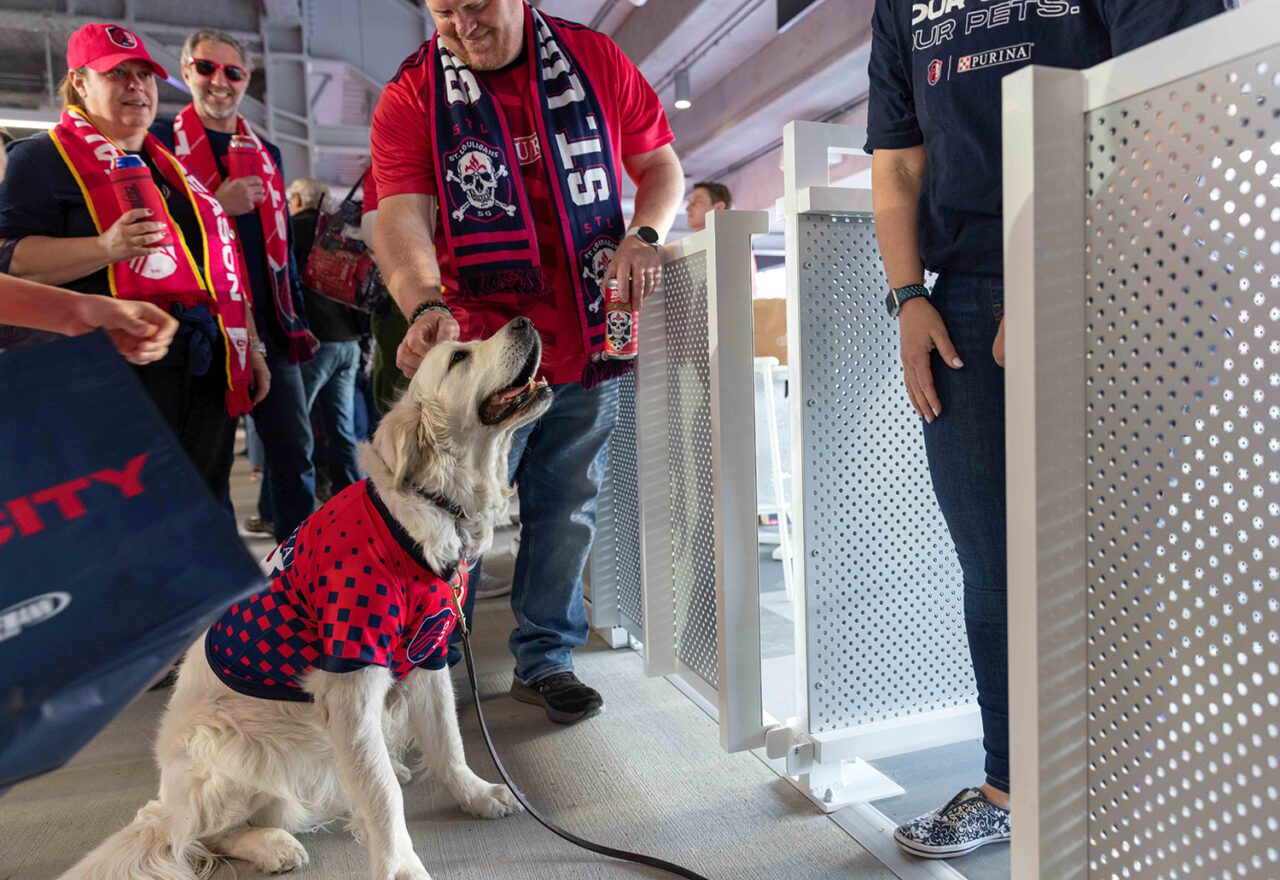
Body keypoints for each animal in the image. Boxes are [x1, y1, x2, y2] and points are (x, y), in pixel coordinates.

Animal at [66, 318, 555, 880]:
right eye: (458, 358)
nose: (524, 321)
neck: (427, 509)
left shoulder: (428, 658)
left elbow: (448, 742)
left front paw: (474, 794)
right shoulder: (351, 679)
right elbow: (382, 796)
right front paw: (399, 866)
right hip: (234, 743)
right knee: (194, 836)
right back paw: (272, 845)